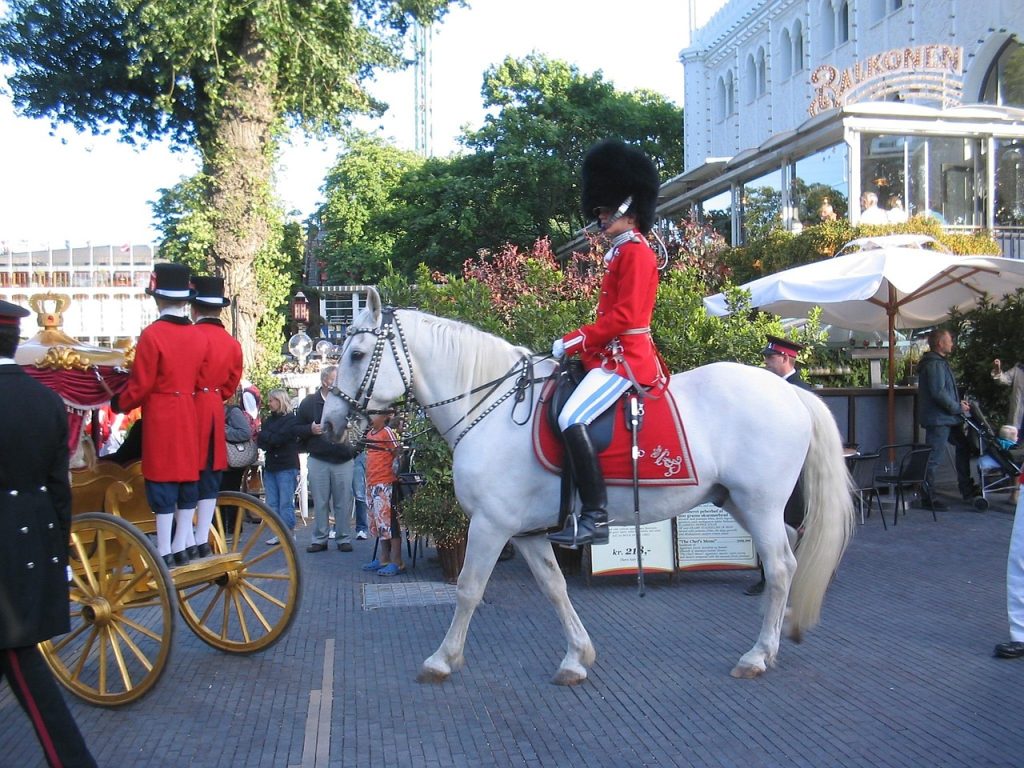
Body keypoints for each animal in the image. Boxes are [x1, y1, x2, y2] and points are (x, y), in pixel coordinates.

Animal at [323, 290, 851, 684]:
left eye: (357, 354)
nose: (327, 426)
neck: (491, 406)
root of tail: (790, 392)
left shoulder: (491, 526)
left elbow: (469, 588)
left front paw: (441, 659)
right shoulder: (527, 533)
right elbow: (555, 588)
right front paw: (577, 658)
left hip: (759, 505)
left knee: (780, 566)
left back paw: (757, 655)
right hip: (740, 503)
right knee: (788, 554)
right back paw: (776, 639)